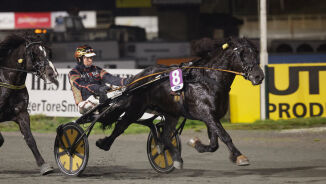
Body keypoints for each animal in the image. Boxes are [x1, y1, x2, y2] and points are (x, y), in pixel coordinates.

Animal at [0, 33, 59, 175]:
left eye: (48, 52)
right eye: (34, 53)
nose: (52, 73)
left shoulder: (21, 113)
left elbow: (30, 139)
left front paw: (44, 166)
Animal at [96, 37, 264, 170]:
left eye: (255, 53)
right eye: (243, 54)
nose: (259, 76)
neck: (209, 79)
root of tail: (136, 78)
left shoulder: (211, 117)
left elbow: (214, 144)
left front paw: (196, 143)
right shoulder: (206, 113)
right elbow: (224, 135)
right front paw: (240, 156)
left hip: (171, 114)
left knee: (164, 138)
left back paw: (176, 158)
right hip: (136, 108)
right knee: (121, 125)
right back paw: (104, 143)